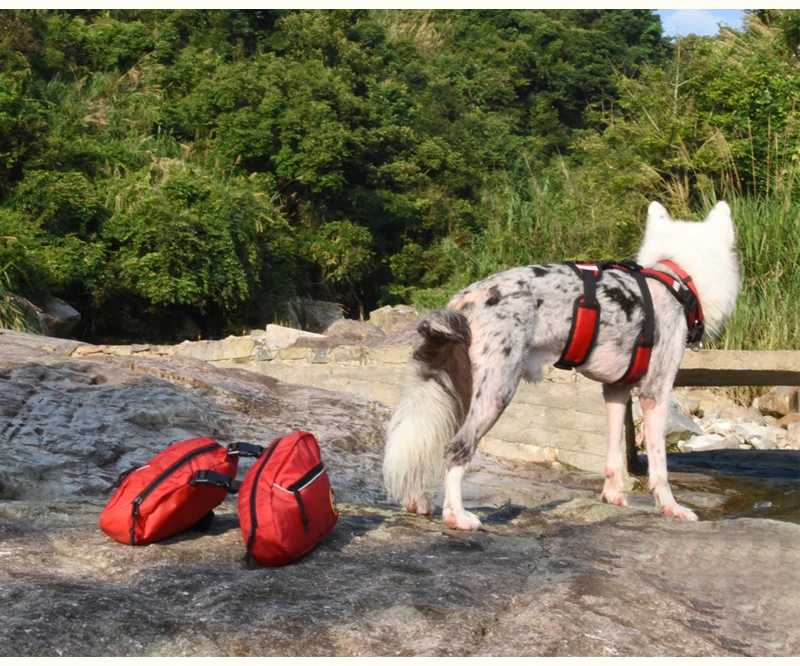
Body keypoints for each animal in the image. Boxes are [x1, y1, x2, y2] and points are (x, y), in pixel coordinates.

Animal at [384, 200, 740, 528]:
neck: (674, 278)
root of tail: (464, 300)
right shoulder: (656, 393)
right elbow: (660, 468)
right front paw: (672, 508)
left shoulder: (616, 392)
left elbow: (613, 455)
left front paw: (614, 497)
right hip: (496, 392)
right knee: (456, 449)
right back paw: (457, 515)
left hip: (455, 393)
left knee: (428, 442)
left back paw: (418, 501)